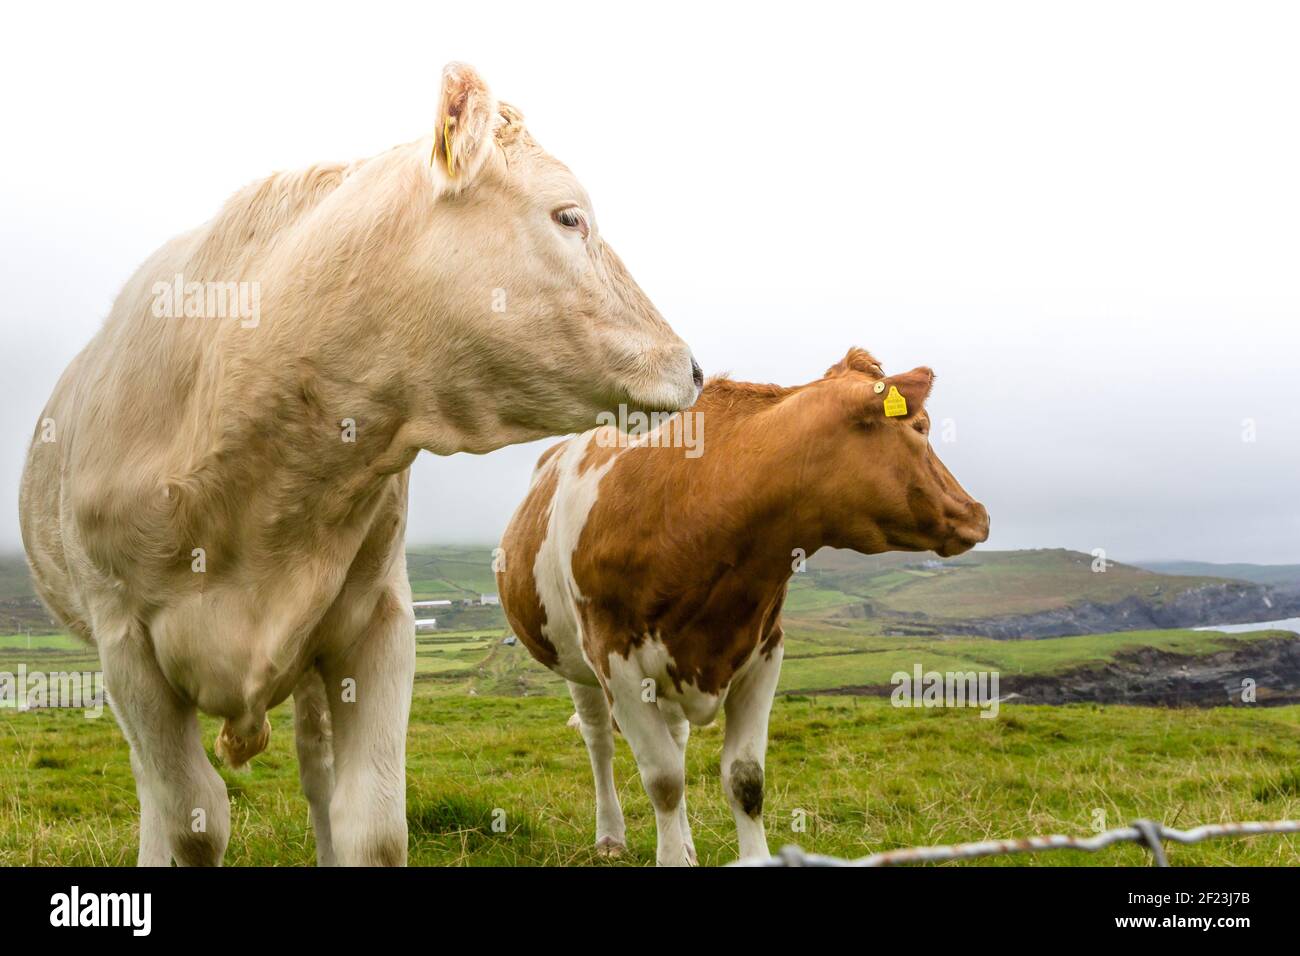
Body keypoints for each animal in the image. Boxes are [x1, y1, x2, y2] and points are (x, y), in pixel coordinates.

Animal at [493, 348, 982, 868]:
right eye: (922, 428)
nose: (979, 513)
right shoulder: (615, 662)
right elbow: (663, 780)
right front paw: (669, 857)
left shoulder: (764, 651)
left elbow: (745, 778)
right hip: (573, 662)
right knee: (600, 740)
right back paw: (611, 835)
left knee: (677, 740)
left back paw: (687, 842)